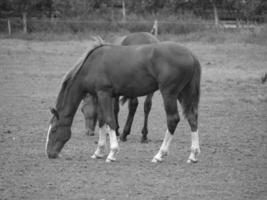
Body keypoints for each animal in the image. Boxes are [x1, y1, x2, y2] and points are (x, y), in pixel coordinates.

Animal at [45, 41, 201, 164]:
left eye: (53, 130)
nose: (49, 154)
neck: (92, 65)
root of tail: (191, 55)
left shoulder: (104, 94)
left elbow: (110, 120)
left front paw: (112, 153)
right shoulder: (100, 95)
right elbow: (102, 121)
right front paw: (99, 152)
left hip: (169, 94)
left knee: (172, 120)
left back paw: (159, 155)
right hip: (183, 93)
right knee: (192, 118)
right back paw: (193, 155)